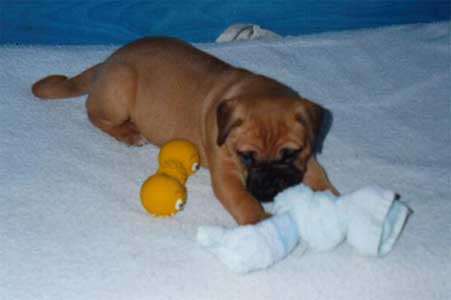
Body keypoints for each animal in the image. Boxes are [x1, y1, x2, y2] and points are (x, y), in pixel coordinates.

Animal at [32, 37, 340, 225]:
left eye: (290, 154)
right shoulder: (226, 175)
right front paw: (260, 224)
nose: (274, 185)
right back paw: (129, 133)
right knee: (92, 113)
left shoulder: (309, 157)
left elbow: (319, 176)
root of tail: (108, 60)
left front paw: (335, 201)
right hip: (120, 88)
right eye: (247, 157)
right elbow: (243, 200)